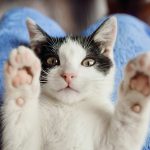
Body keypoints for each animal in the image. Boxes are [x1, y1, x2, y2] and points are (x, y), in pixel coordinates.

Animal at [1, 16, 150, 150]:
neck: (69, 107)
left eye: (88, 62)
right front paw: (22, 77)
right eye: (52, 61)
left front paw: (138, 87)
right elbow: (20, 142)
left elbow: (119, 141)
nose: (68, 75)